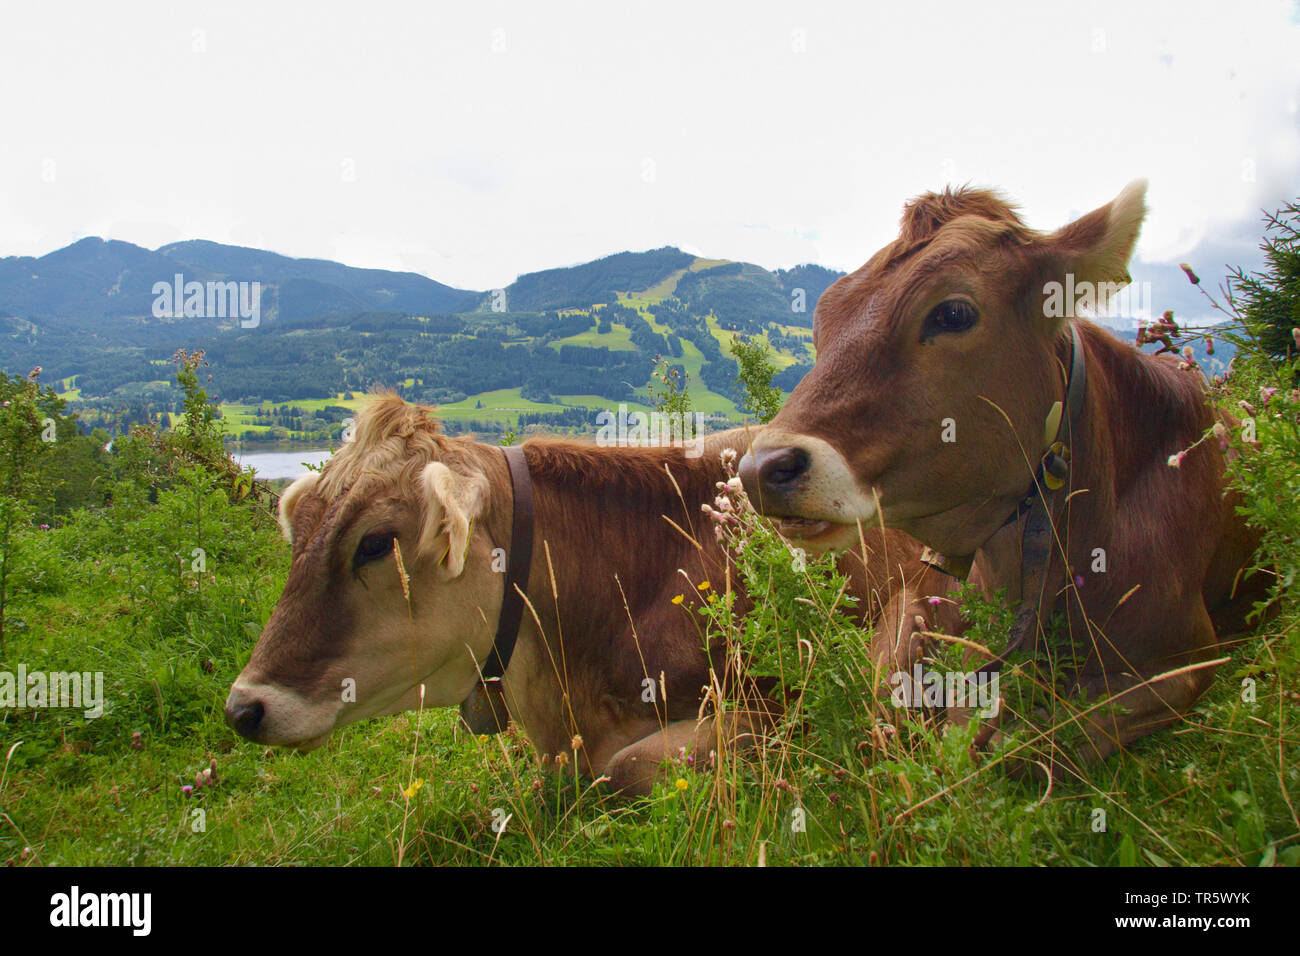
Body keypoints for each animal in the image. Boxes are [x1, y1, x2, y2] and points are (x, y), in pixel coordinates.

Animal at [748, 179, 1263, 770]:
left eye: (953, 313)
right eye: (822, 321)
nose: (761, 468)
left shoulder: (1189, 659)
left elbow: (1034, 743)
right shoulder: (912, 602)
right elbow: (891, 706)